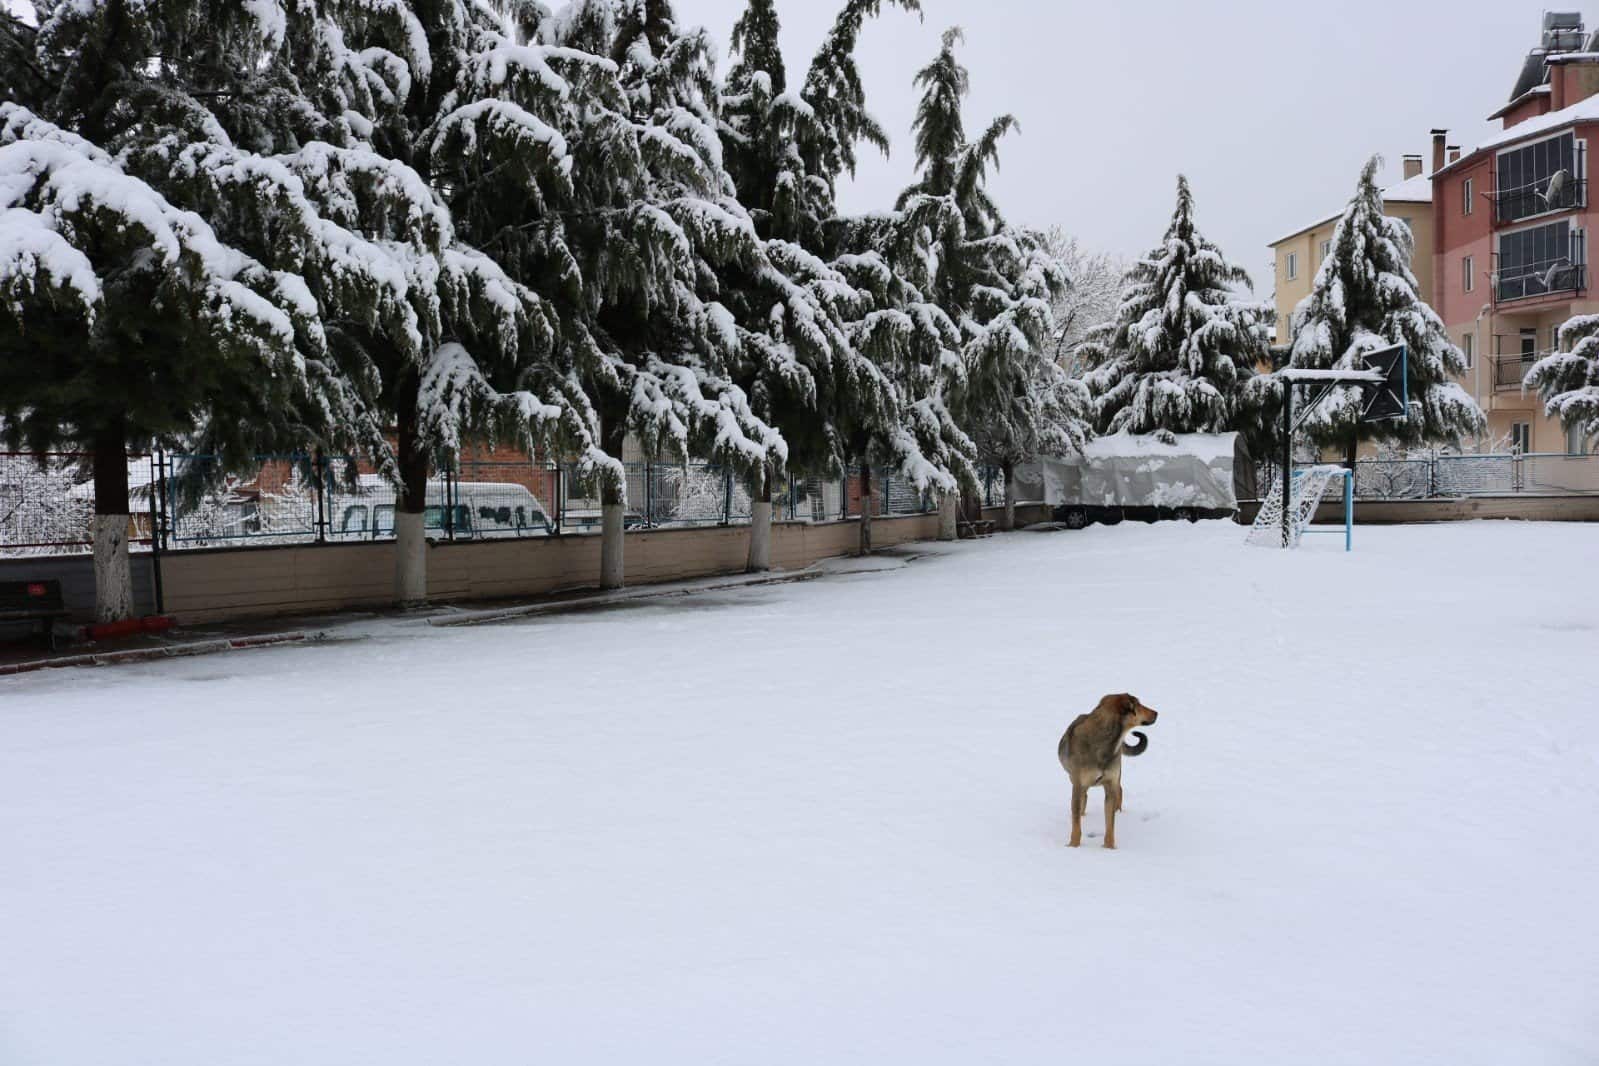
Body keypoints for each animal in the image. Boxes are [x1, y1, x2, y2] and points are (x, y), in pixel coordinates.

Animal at [1055, 700, 1157, 850]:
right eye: (1138, 704)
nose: (1157, 713)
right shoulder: (1078, 785)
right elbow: (1076, 822)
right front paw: (1074, 846)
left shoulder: (1109, 783)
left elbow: (1110, 824)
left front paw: (1109, 848)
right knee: (1084, 800)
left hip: (1115, 777)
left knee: (1119, 790)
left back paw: (1118, 812)